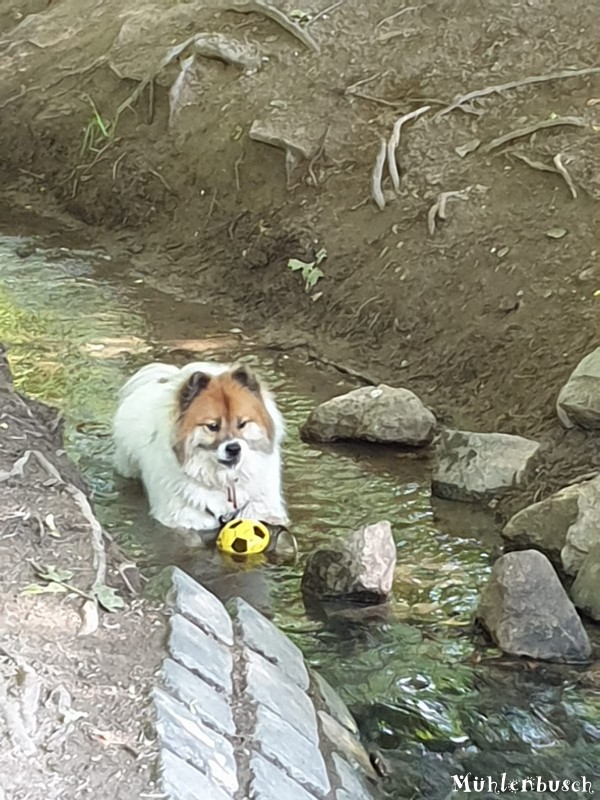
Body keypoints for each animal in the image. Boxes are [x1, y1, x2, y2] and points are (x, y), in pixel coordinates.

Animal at [115, 362, 290, 532]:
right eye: (213, 426)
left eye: (242, 424)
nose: (234, 448)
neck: (225, 481)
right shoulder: (187, 519)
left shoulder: (261, 509)